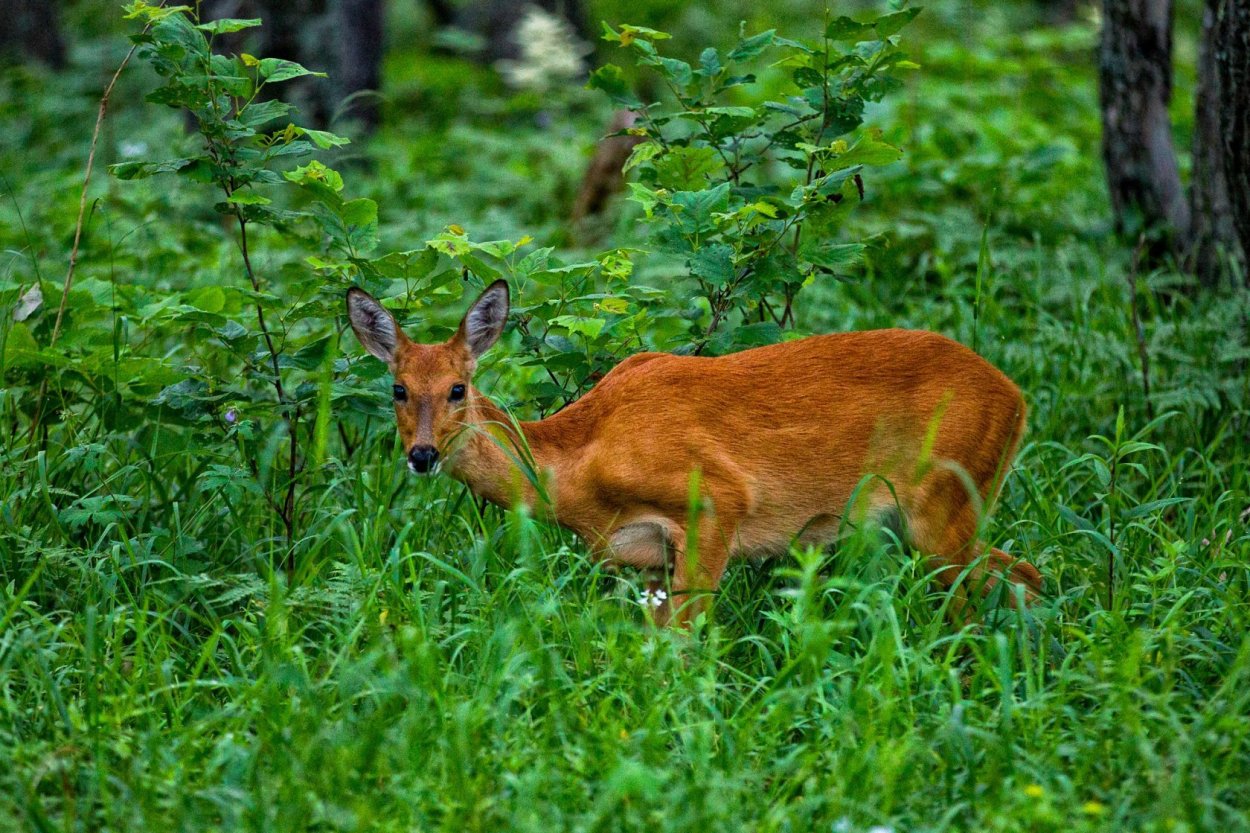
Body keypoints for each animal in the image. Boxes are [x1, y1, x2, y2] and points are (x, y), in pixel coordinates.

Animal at [347, 278, 1040, 622]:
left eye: (458, 388)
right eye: (398, 388)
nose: (422, 455)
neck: (576, 465)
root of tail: (1017, 398)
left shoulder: (714, 502)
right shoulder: (645, 559)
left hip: (942, 503)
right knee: (1022, 574)